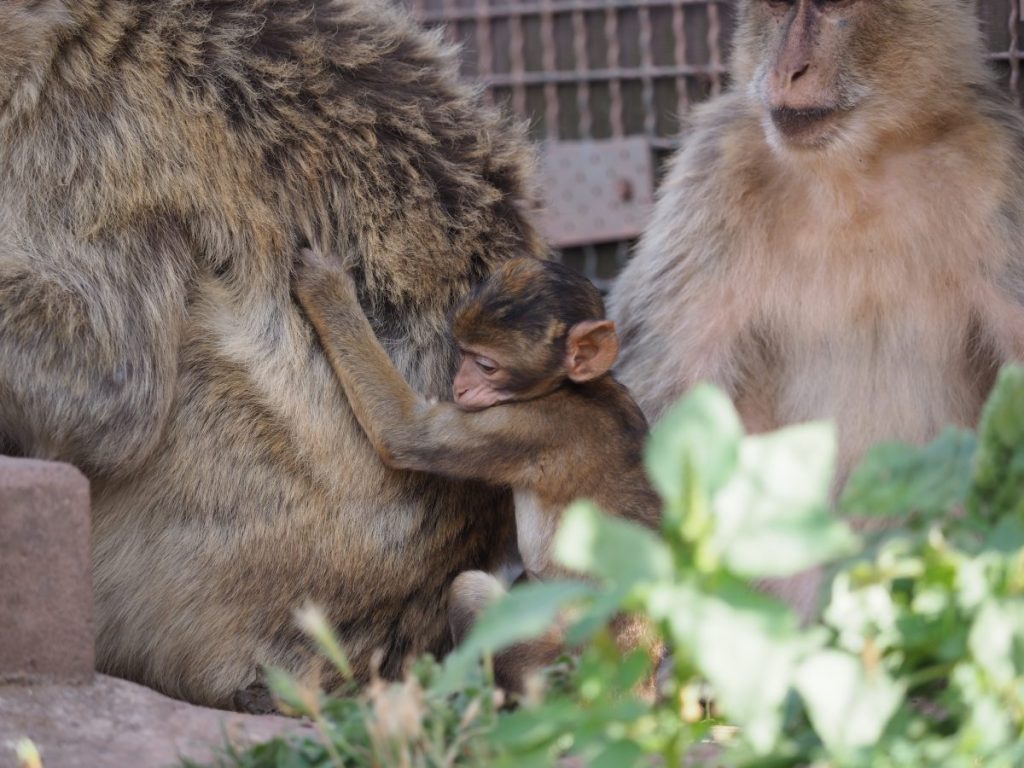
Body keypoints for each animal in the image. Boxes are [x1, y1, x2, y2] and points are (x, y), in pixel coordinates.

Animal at [294, 252, 663, 692]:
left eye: (486, 365)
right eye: (464, 353)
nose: (461, 385)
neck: (572, 387)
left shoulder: (533, 425)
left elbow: (406, 433)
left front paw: (327, 289)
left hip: (550, 669)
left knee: (469, 589)